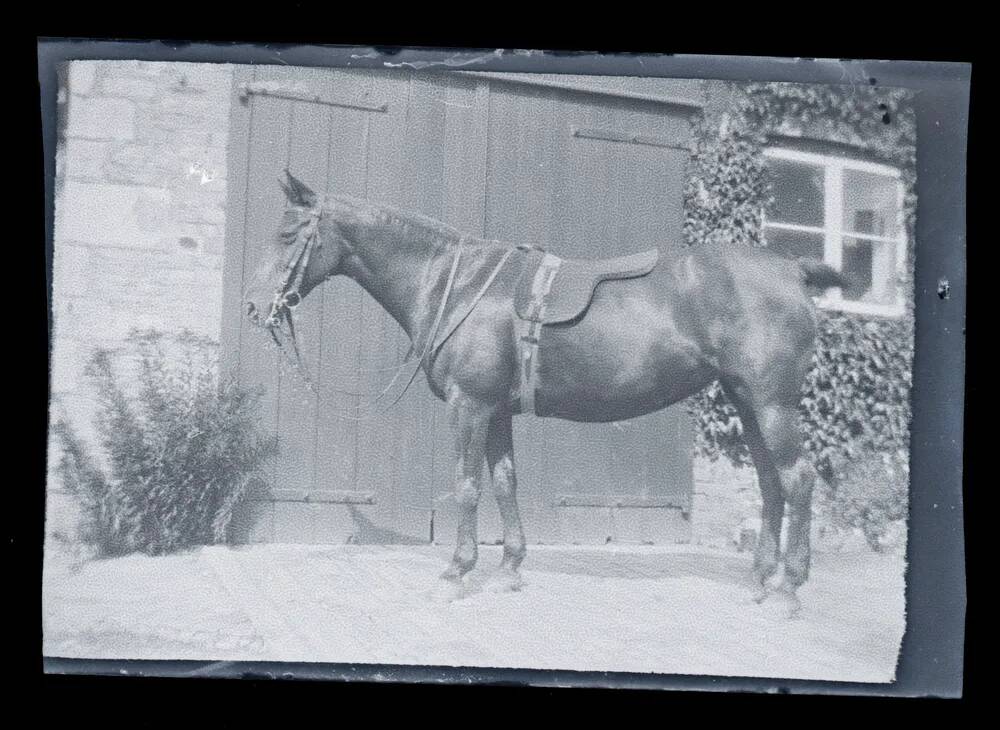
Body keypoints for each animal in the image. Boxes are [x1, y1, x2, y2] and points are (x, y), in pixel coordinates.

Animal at [246, 172, 848, 616]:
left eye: (287, 235)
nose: (253, 307)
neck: (457, 283)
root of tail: (791, 268)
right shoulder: (497, 411)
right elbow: (505, 483)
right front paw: (509, 569)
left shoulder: (470, 406)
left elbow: (467, 487)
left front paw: (455, 572)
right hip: (747, 402)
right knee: (771, 482)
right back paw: (763, 580)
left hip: (772, 404)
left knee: (797, 479)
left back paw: (788, 591)